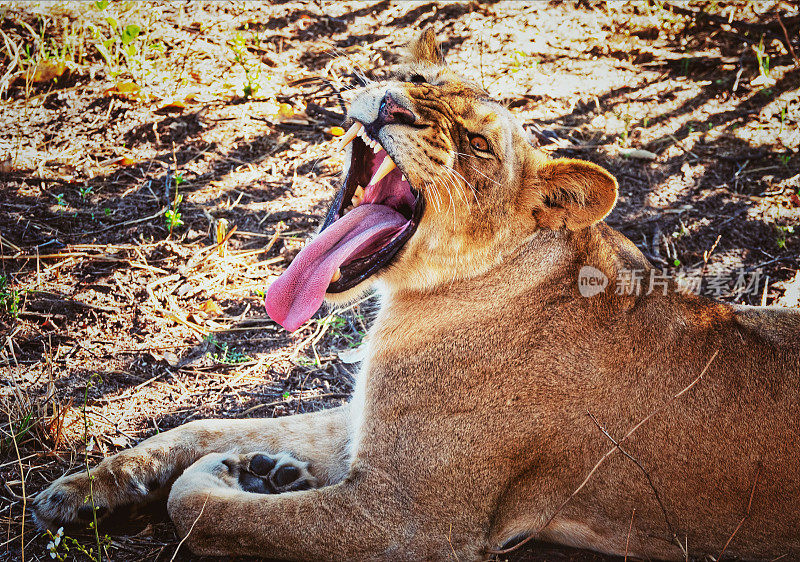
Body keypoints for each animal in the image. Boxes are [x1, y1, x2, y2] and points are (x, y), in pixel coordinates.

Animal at [34, 27, 800, 560]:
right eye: (414, 78)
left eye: (478, 146)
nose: (393, 103)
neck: (410, 301)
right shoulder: (372, 428)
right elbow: (201, 426)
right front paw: (80, 491)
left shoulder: (405, 518)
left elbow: (199, 505)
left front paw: (246, 476)